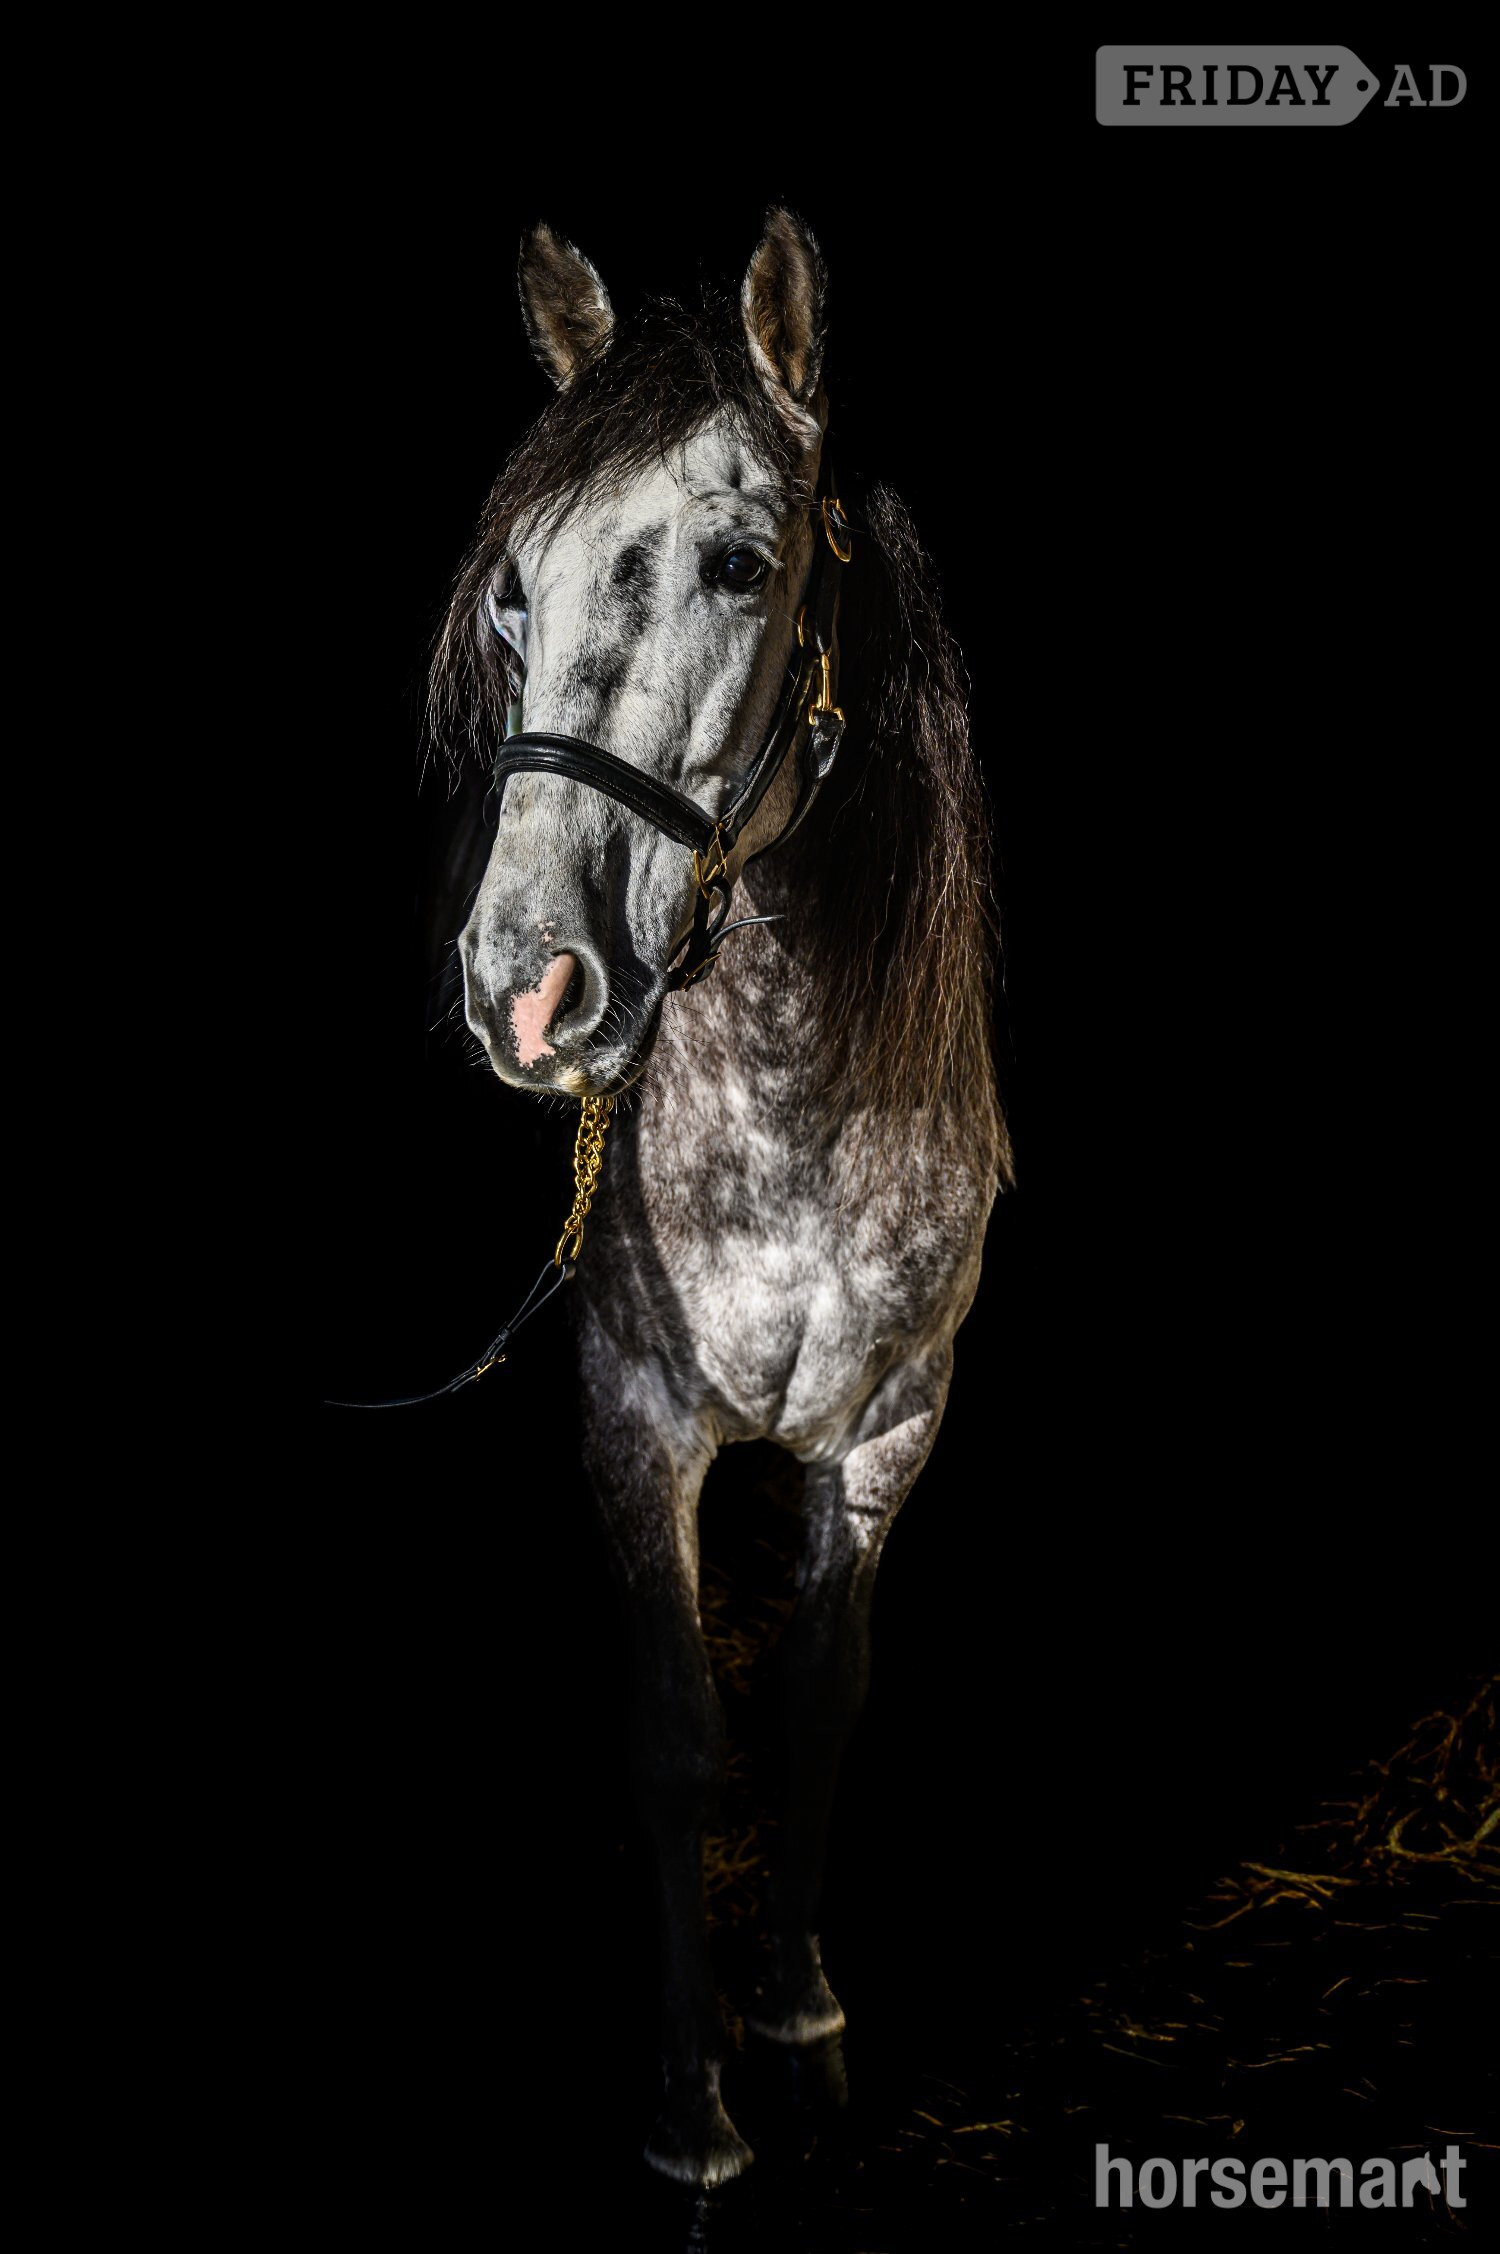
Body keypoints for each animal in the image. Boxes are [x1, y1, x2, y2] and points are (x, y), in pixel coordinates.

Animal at [430, 208, 1011, 2187]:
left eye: (743, 562)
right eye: (509, 595)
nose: (522, 987)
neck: (794, 1106)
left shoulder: (894, 1422)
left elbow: (820, 1700)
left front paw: (800, 2018)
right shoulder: (632, 1423)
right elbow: (683, 1736)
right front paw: (692, 2103)